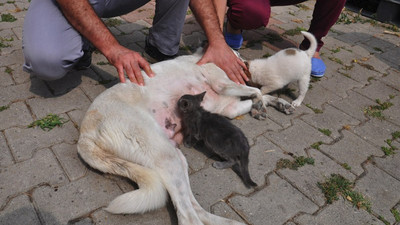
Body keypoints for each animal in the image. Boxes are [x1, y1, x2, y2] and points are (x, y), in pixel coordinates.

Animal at [77, 48, 294, 224]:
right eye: (239, 54)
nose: (246, 63)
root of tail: (84, 135)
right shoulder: (223, 84)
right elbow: (256, 91)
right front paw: (261, 103)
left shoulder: (230, 108)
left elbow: (259, 96)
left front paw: (277, 103)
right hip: (165, 155)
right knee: (187, 217)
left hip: (175, 158)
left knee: (194, 208)